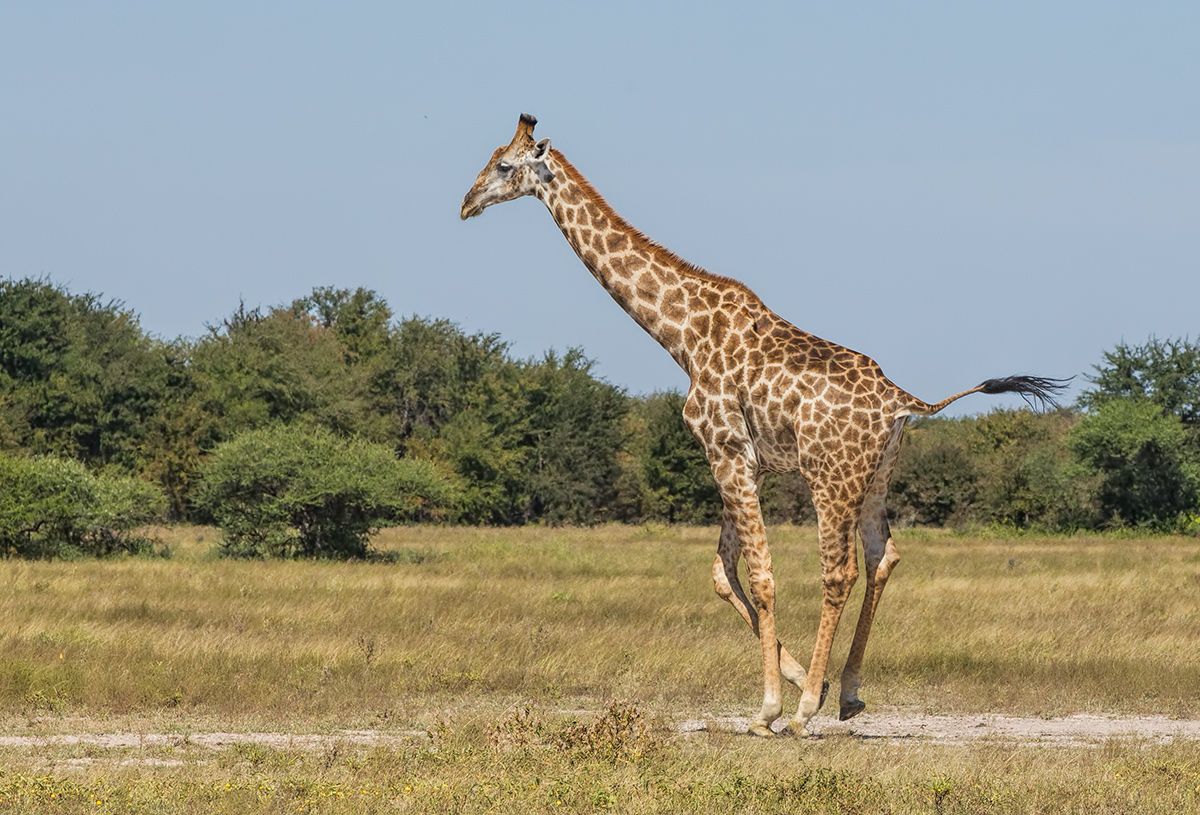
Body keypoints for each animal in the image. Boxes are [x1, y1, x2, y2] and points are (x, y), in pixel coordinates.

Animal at [460, 114, 1065, 737]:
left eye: (503, 166)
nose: (466, 203)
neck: (680, 335)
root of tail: (905, 402)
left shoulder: (726, 450)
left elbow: (761, 575)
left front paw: (773, 704)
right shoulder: (743, 461)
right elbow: (723, 573)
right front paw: (796, 680)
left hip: (831, 478)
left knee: (838, 572)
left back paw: (805, 711)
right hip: (876, 477)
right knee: (883, 557)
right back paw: (848, 692)